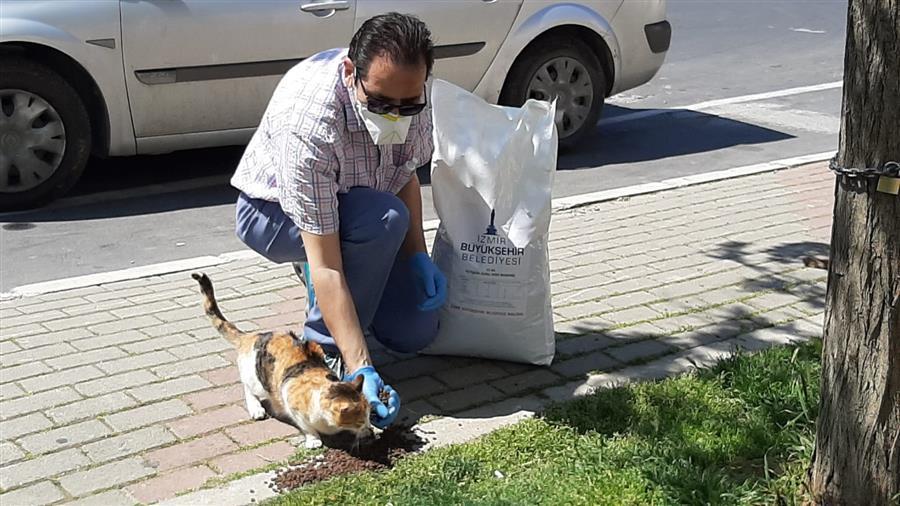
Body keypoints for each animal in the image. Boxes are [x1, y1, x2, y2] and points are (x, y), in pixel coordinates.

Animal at [192, 274, 370, 448]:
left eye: (369, 416)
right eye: (360, 421)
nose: (368, 426)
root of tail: (251, 336)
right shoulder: (293, 406)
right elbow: (307, 427)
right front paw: (313, 439)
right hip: (258, 380)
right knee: (247, 388)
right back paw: (256, 409)